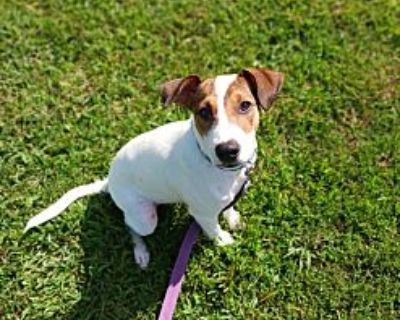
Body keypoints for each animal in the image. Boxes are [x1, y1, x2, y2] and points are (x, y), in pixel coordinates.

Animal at [24, 68, 284, 270]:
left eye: (245, 105)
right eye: (203, 112)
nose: (227, 150)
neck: (214, 165)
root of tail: (109, 181)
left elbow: (228, 207)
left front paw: (232, 217)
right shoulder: (202, 214)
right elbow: (213, 230)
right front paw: (224, 241)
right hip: (145, 219)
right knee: (130, 225)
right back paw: (141, 252)